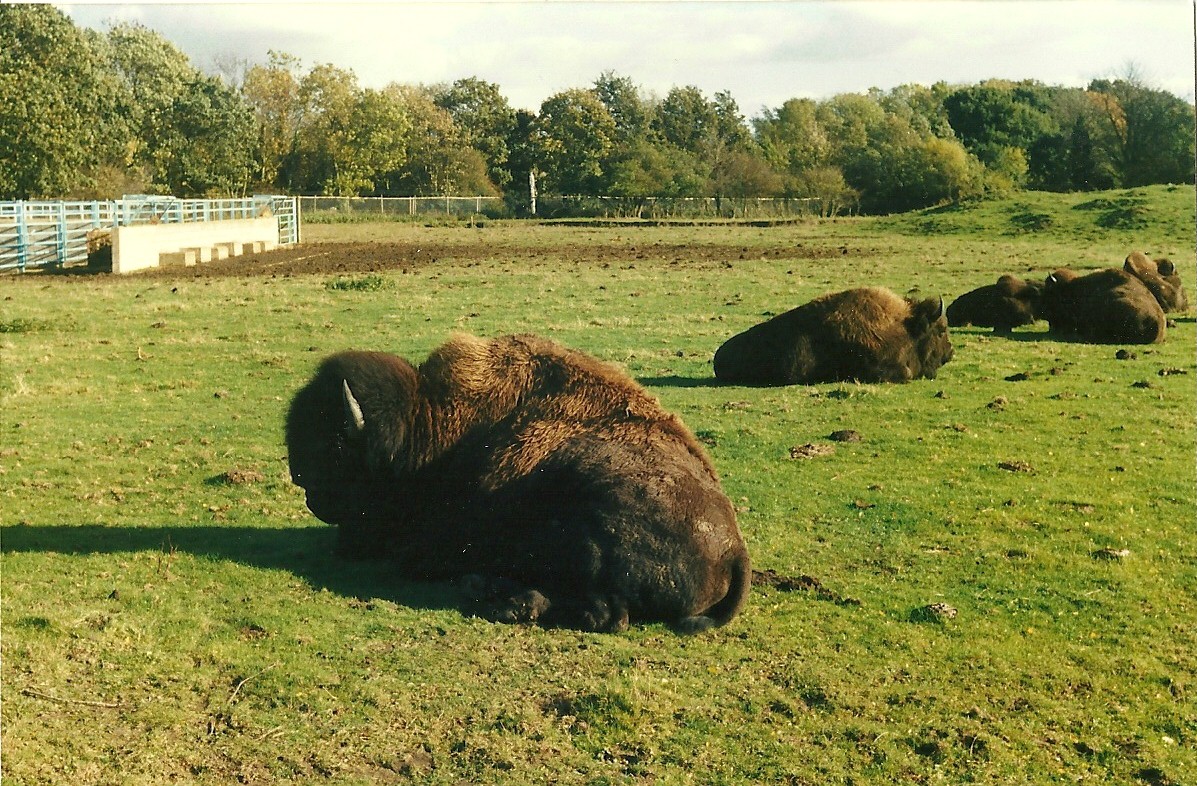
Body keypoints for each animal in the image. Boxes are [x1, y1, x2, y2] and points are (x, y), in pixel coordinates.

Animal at [286, 333, 751, 633]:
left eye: (335, 443)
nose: (305, 487)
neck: (429, 421)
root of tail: (734, 549)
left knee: (605, 616)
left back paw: (498, 598)